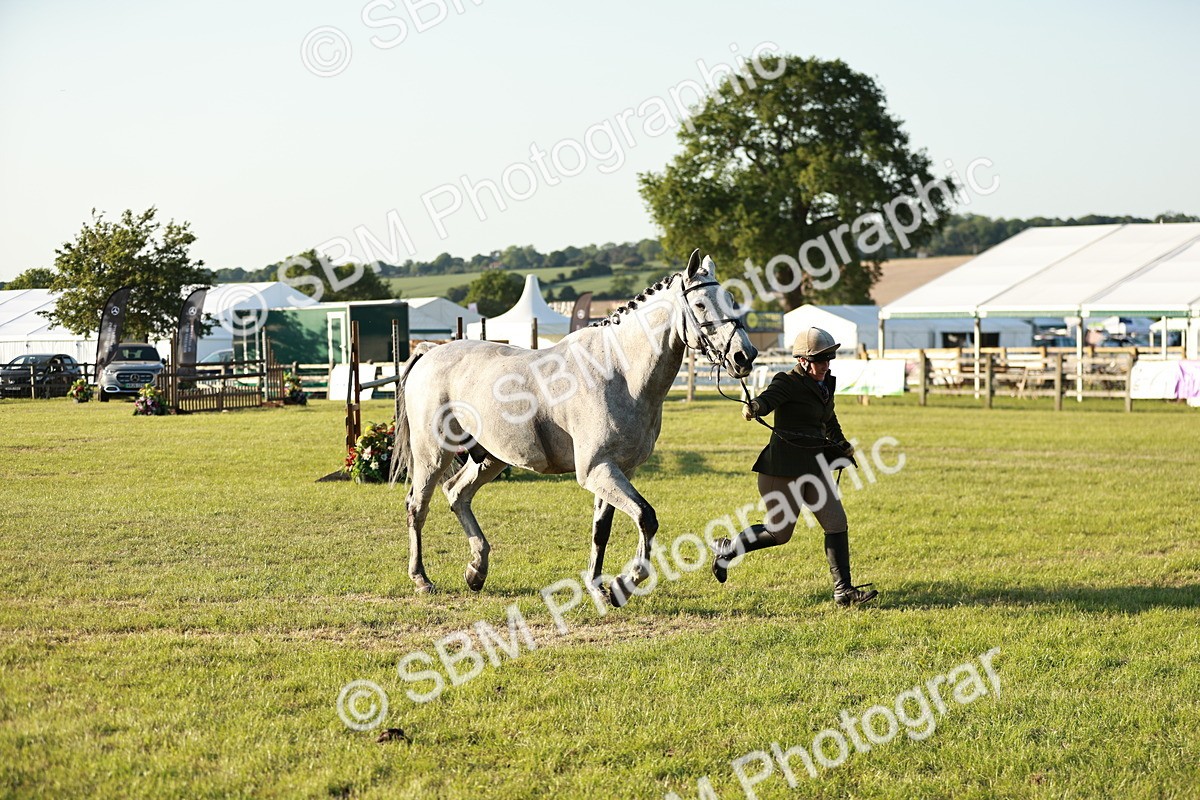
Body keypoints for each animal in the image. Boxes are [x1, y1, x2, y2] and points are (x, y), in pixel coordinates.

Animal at [391, 249, 758, 606]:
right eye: (701, 304)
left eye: (729, 299)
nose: (745, 356)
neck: (618, 371)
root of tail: (429, 352)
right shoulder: (597, 470)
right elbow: (645, 517)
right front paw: (625, 583)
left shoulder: (618, 470)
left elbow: (601, 530)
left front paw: (598, 588)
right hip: (433, 454)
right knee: (418, 506)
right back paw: (421, 579)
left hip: (491, 458)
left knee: (457, 493)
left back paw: (476, 571)